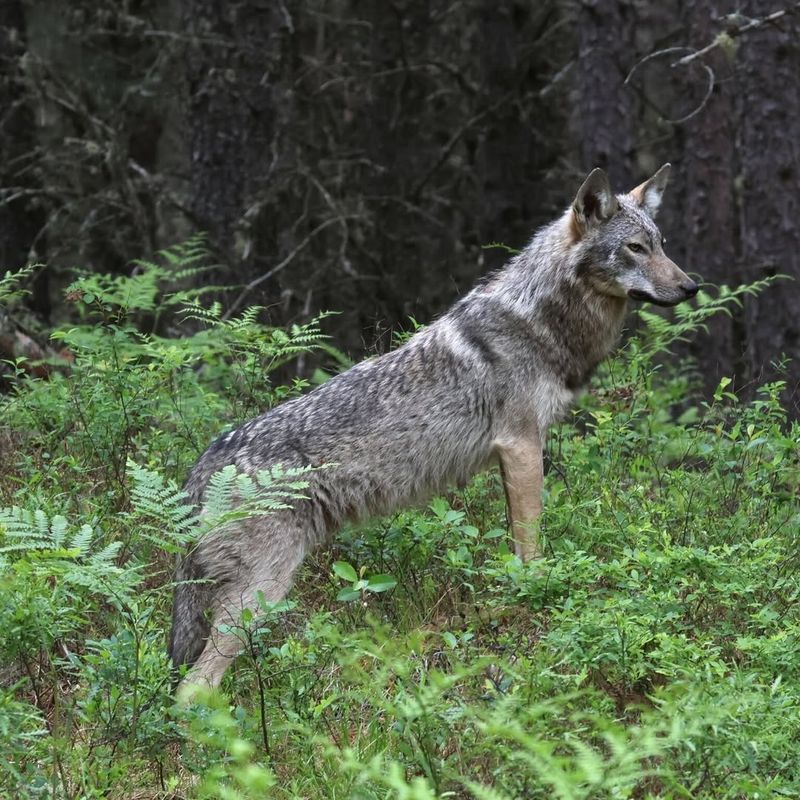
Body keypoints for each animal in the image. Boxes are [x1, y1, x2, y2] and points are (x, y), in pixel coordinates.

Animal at [170, 164, 700, 688]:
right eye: (635, 248)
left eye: (662, 243)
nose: (691, 286)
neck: (540, 318)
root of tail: (205, 463)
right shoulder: (522, 445)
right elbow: (532, 545)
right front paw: (537, 591)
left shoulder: (513, 455)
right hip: (260, 596)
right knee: (192, 689)